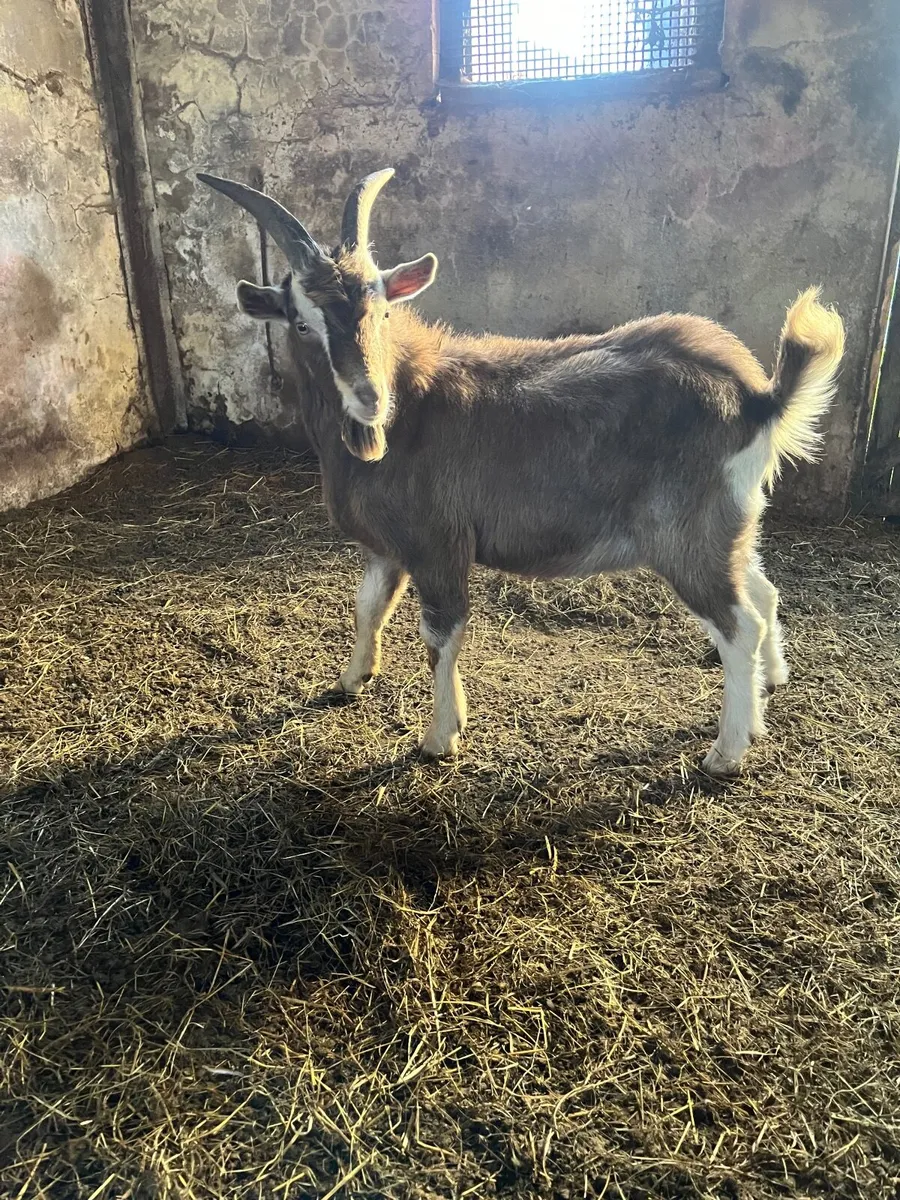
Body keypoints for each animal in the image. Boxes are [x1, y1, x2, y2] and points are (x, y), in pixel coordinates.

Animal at [198, 168, 844, 774]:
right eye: (302, 322)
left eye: (381, 309)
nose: (370, 400)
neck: (409, 409)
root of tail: (757, 396)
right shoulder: (387, 546)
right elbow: (367, 606)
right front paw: (352, 679)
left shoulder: (438, 542)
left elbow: (441, 634)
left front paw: (440, 737)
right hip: (730, 523)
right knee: (763, 593)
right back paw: (766, 695)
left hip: (687, 536)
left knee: (738, 627)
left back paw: (726, 752)